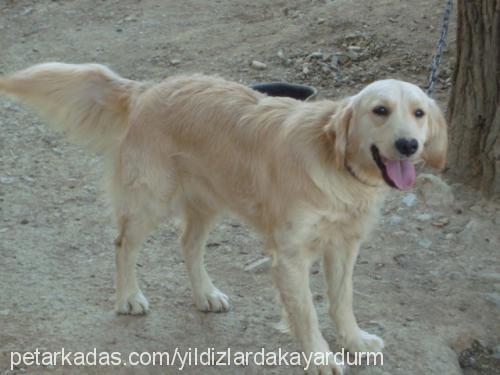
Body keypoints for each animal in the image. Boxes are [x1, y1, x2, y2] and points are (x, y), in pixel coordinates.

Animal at [0, 63, 448, 374]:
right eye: (380, 110)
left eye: (419, 113)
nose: (408, 145)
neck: (337, 167)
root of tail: (147, 89)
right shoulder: (291, 254)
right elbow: (306, 311)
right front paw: (319, 357)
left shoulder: (343, 245)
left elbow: (342, 299)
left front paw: (354, 341)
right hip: (151, 200)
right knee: (123, 244)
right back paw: (128, 297)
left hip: (207, 200)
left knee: (189, 245)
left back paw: (205, 294)